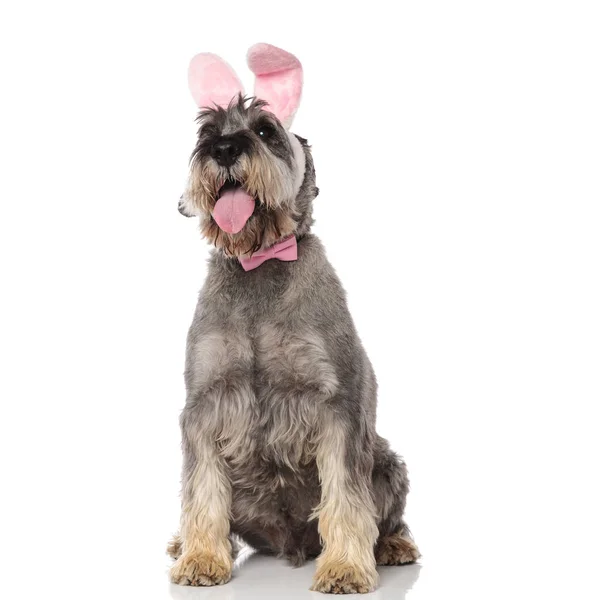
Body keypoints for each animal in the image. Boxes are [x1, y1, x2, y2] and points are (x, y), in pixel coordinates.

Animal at [166, 43, 420, 596]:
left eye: (265, 130)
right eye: (206, 132)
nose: (224, 149)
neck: (258, 263)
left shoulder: (335, 406)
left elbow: (346, 496)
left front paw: (345, 567)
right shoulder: (206, 405)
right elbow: (201, 489)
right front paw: (201, 556)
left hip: (387, 460)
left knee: (385, 513)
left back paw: (391, 545)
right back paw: (182, 541)